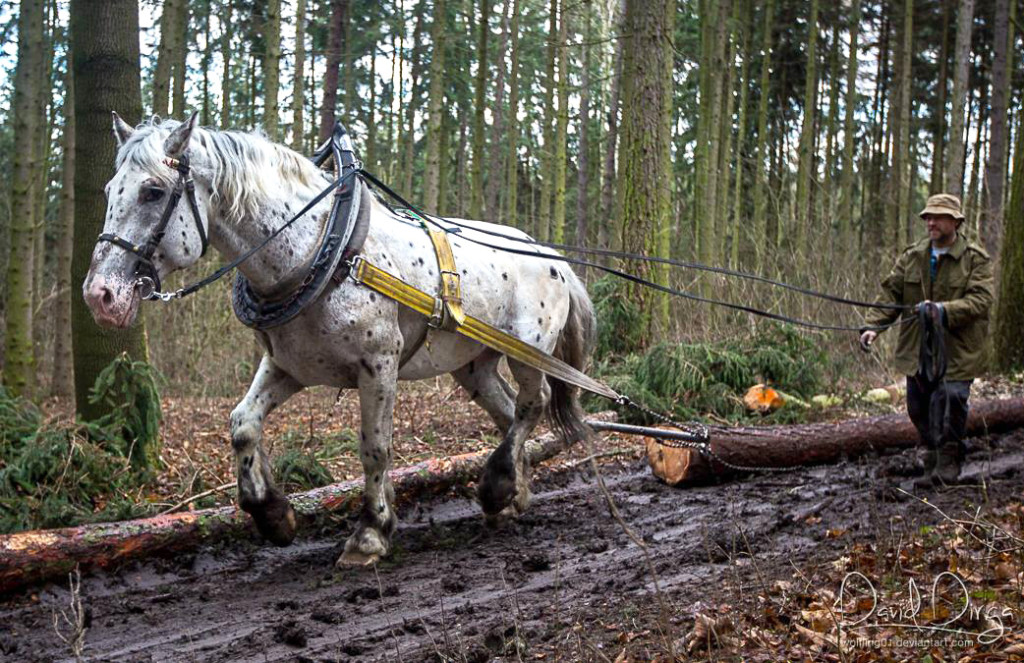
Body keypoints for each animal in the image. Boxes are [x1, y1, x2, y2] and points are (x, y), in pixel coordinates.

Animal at [83, 114, 598, 565]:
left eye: (153, 191)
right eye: (108, 190)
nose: (100, 295)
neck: (322, 252)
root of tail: (550, 253)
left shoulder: (379, 363)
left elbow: (374, 447)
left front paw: (370, 533)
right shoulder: (289, 365)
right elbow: (242, 424)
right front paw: (273, 515)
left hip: (531, 351)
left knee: (533, 404)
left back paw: (497, 485)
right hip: (473, 365)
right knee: (508, 411)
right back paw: (514, 494)